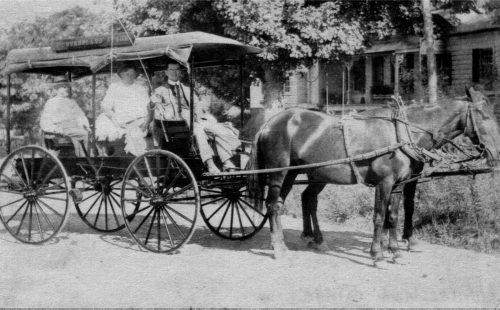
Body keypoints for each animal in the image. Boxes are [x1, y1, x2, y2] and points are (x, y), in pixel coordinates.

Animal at [250, 88, 500, 260]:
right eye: (484, 115)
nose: (496, 153)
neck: (403, 133)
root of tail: (269, 123)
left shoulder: (399, 184)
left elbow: (394, 215)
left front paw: (395, 250)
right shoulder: (384, 183)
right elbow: (379, 216)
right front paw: (377, 253)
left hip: (300, 174)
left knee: (296, 201)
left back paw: (308, 239)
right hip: (279, 172)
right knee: (273, 204)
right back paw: (279, 247)